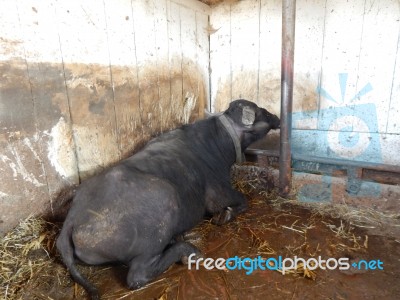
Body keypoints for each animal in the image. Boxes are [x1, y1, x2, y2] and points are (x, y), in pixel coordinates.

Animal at [57, 99, 282, 298]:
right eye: (261, 111)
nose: (277, 117)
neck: (216, 144)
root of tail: (72, 219)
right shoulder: (219, 193)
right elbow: (242, 201)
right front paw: (224, 216)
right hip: (165, 201)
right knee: (138, 275)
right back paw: (188, 251)